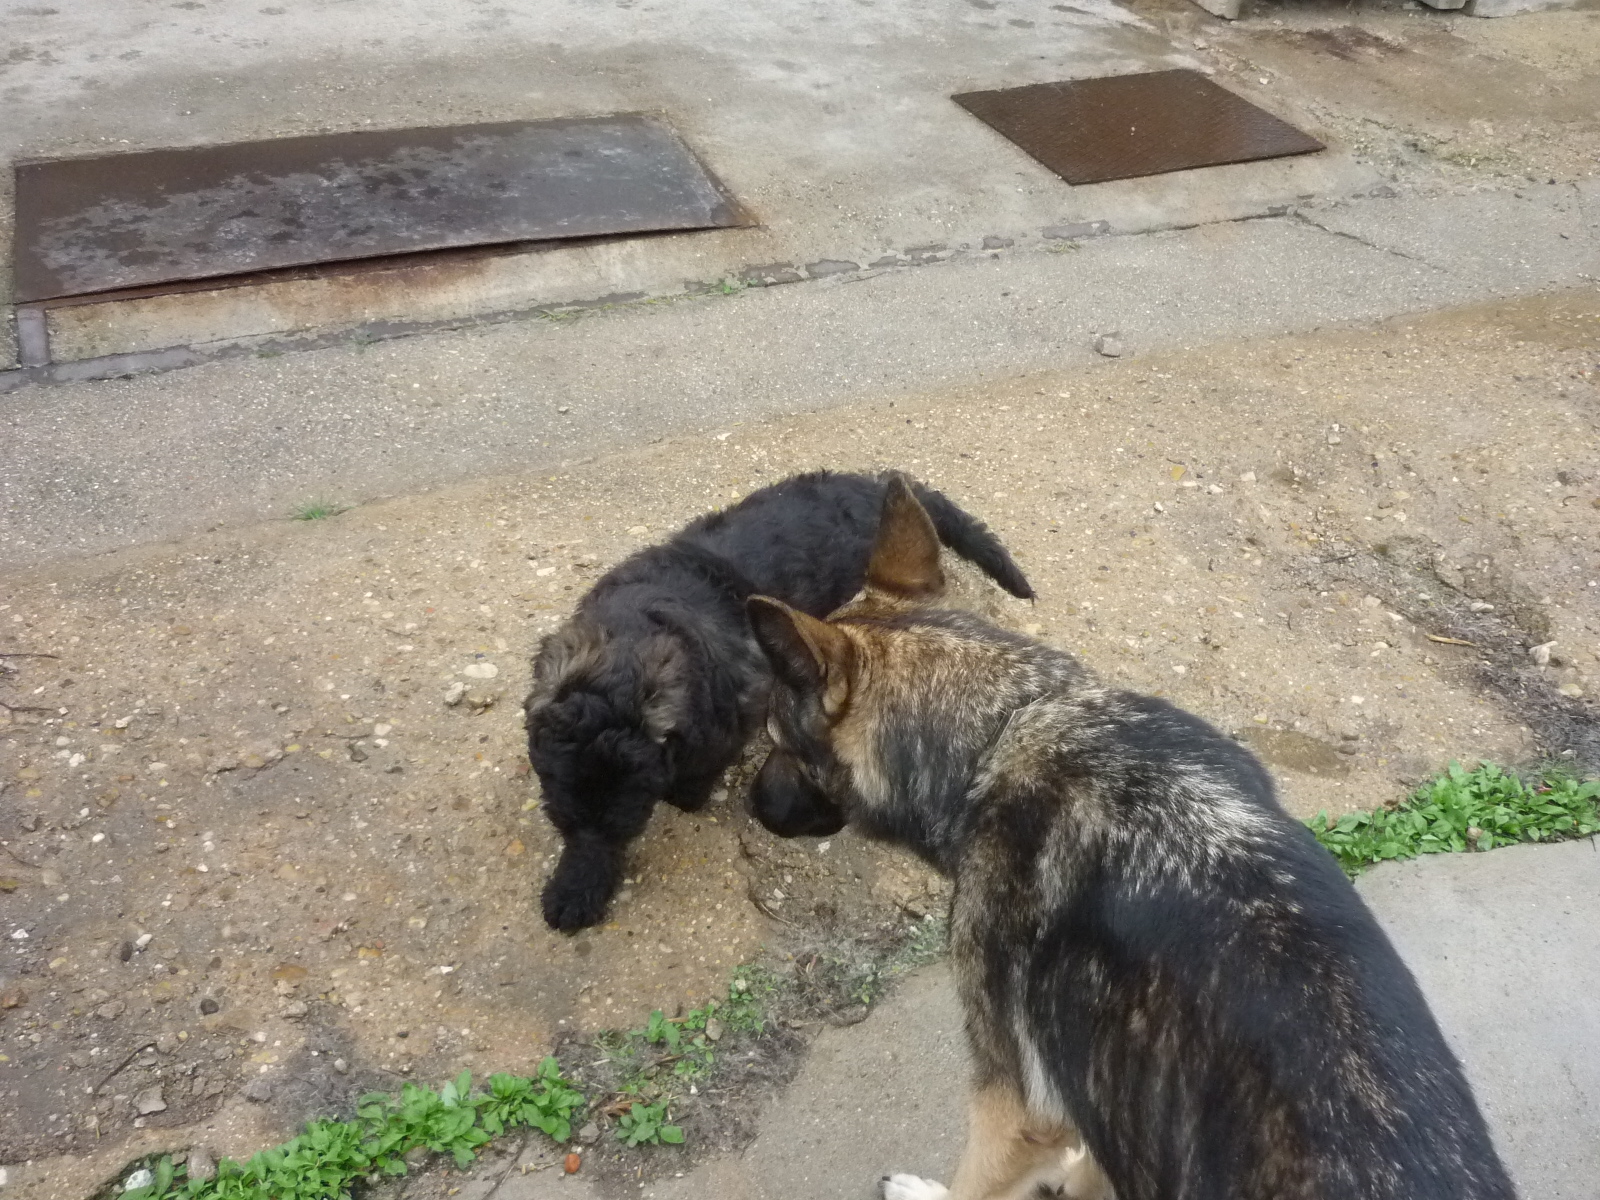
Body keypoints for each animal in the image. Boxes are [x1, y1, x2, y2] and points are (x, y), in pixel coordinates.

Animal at [524, 470, 1033, 932]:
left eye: (634, 783)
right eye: (557, 780)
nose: (593, 826)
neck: (636, 627)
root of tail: (874, 482)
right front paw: (576, 884)